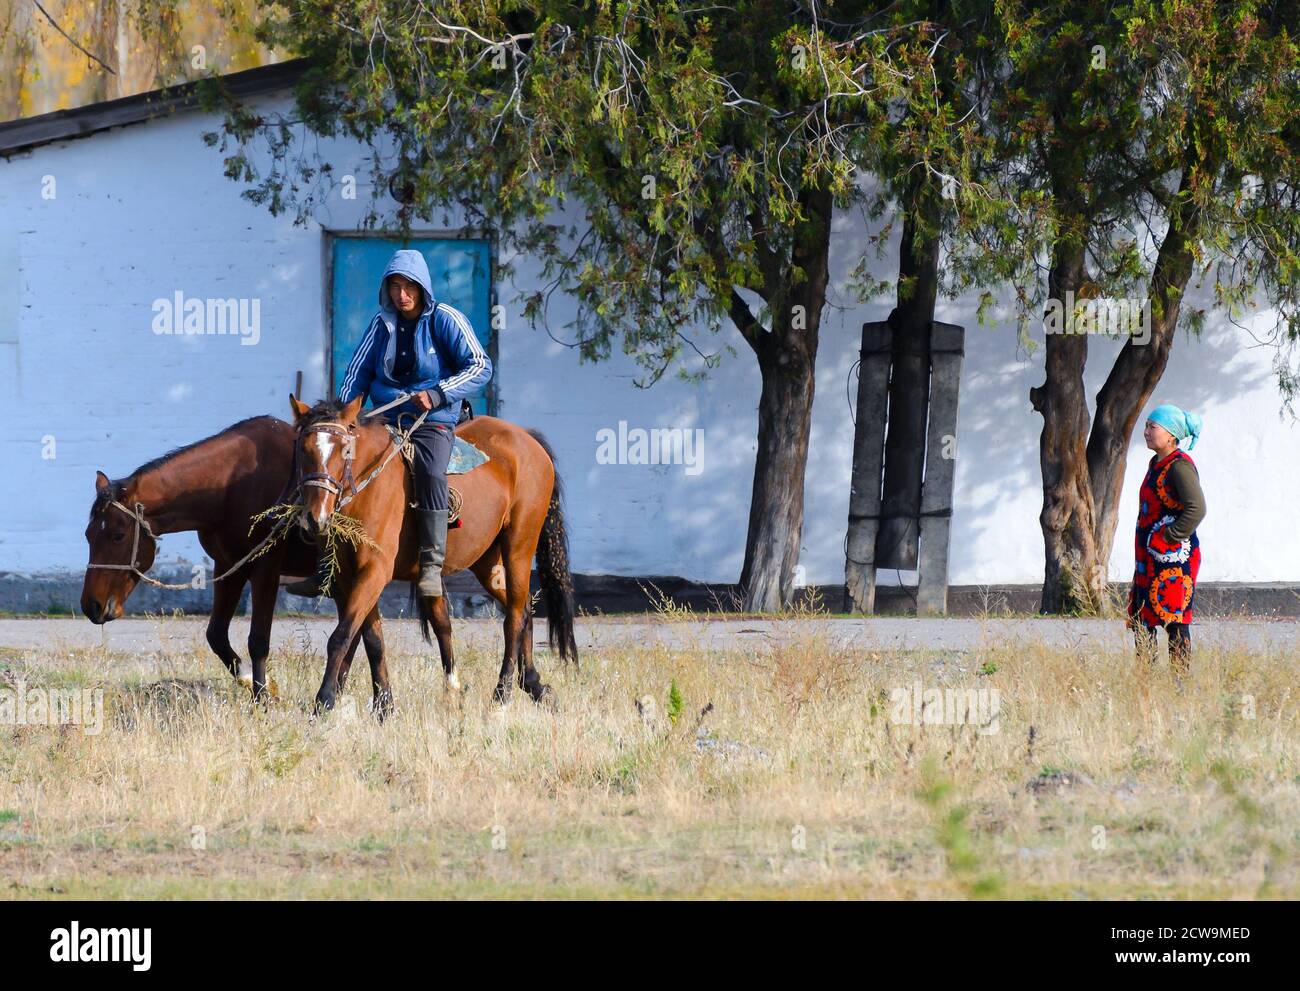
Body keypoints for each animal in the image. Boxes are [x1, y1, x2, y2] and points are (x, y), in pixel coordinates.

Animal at [297, 392, 582, 712]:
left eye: (345, 449)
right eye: (303, 449)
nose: (314, 517)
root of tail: (528, 439)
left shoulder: (374, 572)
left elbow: (342, 635)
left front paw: (324, 701)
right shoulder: (350, 578)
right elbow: (370, 638)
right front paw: (383, 705)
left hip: (519, 547)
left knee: (516, 616)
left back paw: (502, 694)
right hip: (488, 563)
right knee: (522, 610)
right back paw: (532, 683)